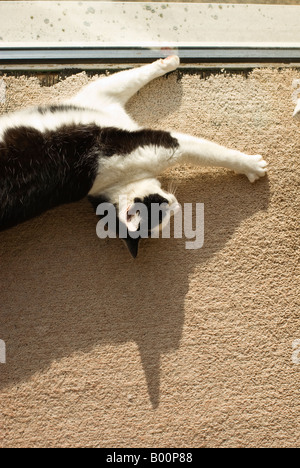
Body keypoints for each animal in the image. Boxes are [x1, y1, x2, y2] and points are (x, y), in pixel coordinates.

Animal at [0, 57, 268, 260]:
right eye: (163, 210)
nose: (176, 204)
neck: (114, 184)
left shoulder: (98, 97)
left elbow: (133, 76)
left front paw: (169, 60)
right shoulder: (160, 144)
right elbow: (213, 152)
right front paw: (252, 165)